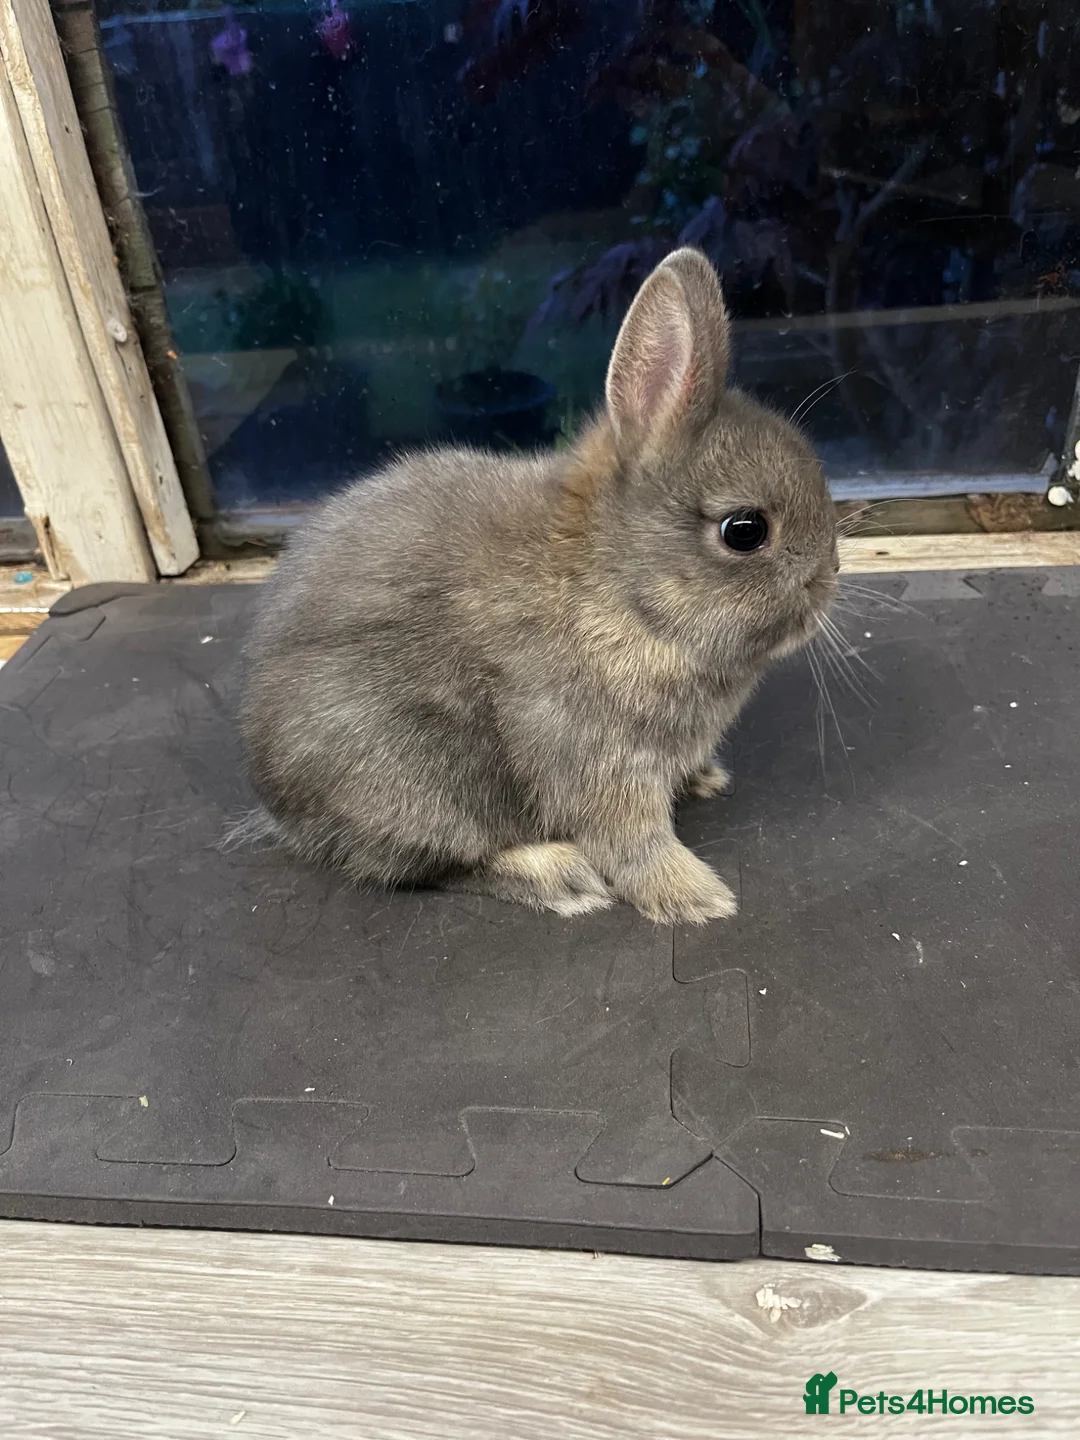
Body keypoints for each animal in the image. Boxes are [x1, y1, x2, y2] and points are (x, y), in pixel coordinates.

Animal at [236, 247, 838, 925]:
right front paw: (698, 898)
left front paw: (705, 783)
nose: (831, 578)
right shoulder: (594, 759)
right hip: (418, 784)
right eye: (745, 531)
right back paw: (560, 878)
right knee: (429, 866)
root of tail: (280, 809)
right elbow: (632, 842)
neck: (619, 588)